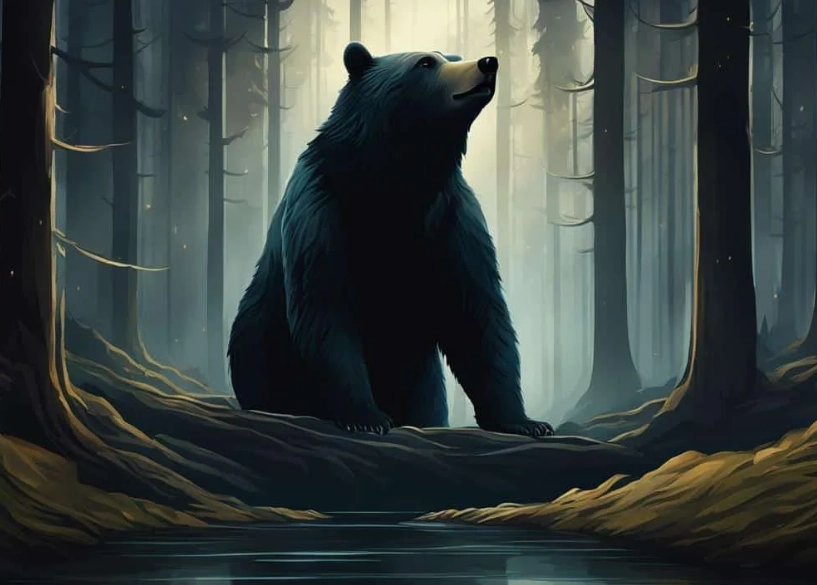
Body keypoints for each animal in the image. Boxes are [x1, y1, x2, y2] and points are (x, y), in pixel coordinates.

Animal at [227, 42, 553, 438]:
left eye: (454, 57)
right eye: (426, 62)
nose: (487, 63)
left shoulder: (450, 221)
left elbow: (478, 317)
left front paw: (525, 421)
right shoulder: (322, 211)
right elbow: (325, 309)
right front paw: (366, 416)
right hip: (257, 342)